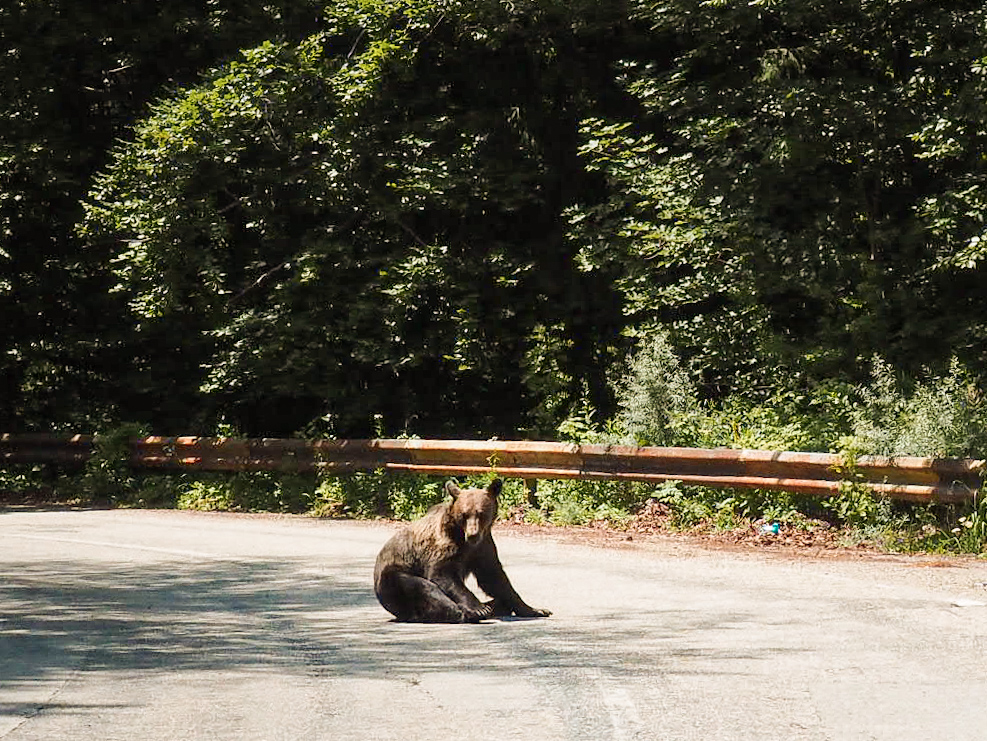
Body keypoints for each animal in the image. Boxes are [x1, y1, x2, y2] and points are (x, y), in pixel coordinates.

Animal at [374, 476, 552, 620]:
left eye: (481, 513)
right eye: (464, 514)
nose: (472, 534)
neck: (463, 538)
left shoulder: (483, 546)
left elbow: (495, 579)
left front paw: (536, 610)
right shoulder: (444, 546)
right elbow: (443, 574)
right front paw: (478, 608)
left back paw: (495, 606)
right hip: (394, 577)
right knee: (422, 588)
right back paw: (469, 612)